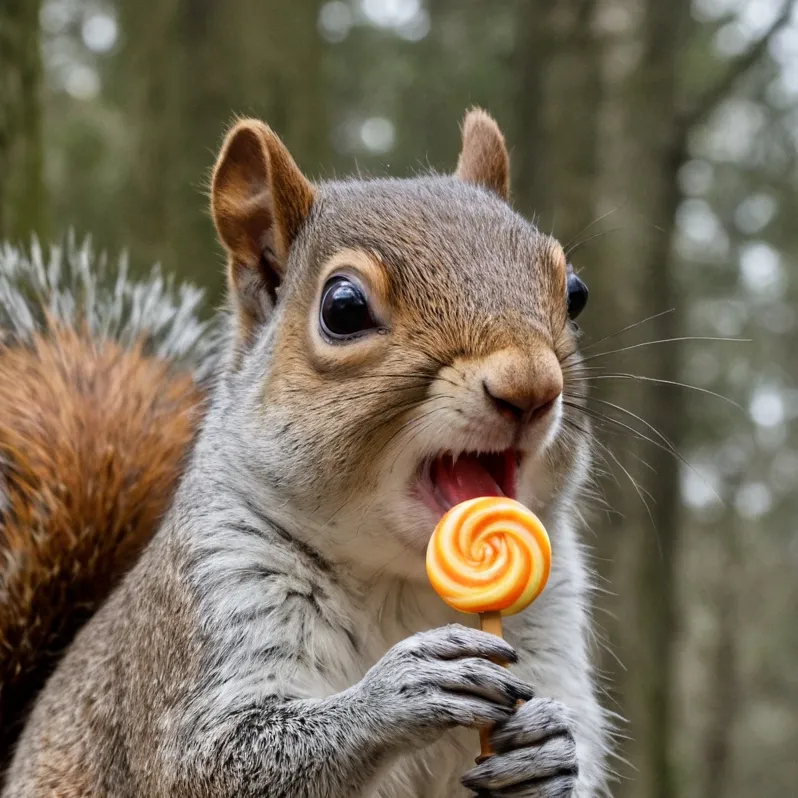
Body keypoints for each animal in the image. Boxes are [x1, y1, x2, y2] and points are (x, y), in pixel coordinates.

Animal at [0, 109, 610, 797]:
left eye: (576, 294)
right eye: (342, 308)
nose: (530, 386)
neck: (402, 582)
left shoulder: (549, 626)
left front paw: (549, 749)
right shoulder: (206, 612)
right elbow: (212, 764)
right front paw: (399, 690)